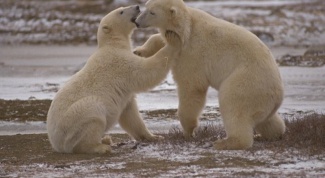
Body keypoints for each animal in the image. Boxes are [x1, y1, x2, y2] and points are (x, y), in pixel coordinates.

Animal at [46, 4, 180, 154]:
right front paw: (172, 40)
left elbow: (130, 115)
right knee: (93, 113)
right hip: (74, 121)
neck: (112, 44)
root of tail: (55, 143)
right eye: (121, 11)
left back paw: (106, 139)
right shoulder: (119, 62)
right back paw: (101, 146)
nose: (137, 6)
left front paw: (154, 137)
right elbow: (146, 72)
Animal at [134, 0, 284, 149]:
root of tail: (278, 96)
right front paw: (139, 51)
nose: (137, 22)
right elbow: (161, 40)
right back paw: (271, 134)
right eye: (145, 7)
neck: (187, 26)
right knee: (267, 120)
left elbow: (192, 87)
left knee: (233, 105)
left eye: (152, 12)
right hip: (262, 101)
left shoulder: (192, 52)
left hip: (247, 82)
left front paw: (188, 131)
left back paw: (225, 142)